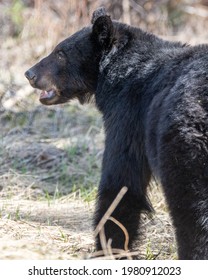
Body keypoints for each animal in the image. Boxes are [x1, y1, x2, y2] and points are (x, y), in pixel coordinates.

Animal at [24, 7, 208, 260]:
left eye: (60, 53)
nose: (29, 73)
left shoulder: (128, 115)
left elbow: (121, 180)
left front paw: (108, 248)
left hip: (185, 147)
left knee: (191, 212)